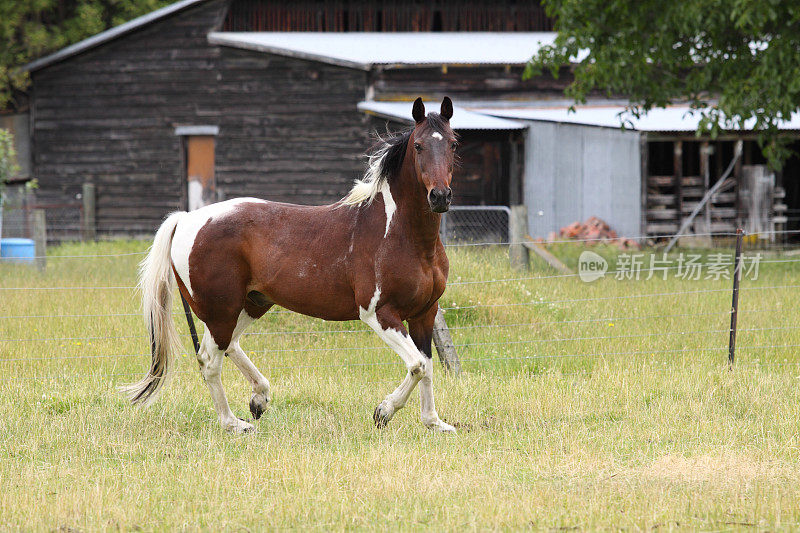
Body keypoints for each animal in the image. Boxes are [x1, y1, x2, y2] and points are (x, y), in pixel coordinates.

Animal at [122, 97, 460, 432]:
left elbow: (428, 365)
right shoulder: (379, 313)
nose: (440, 196)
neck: (401, 233)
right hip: (221, 310)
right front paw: (384, 412)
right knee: (209, 359)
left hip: (249, 304)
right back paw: (233, 424)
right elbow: (417, 365)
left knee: (228, 346)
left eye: (454, 144)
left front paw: (434, 423)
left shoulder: (425, 313)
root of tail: (186, 219)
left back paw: (258, 400)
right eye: (418, 146)